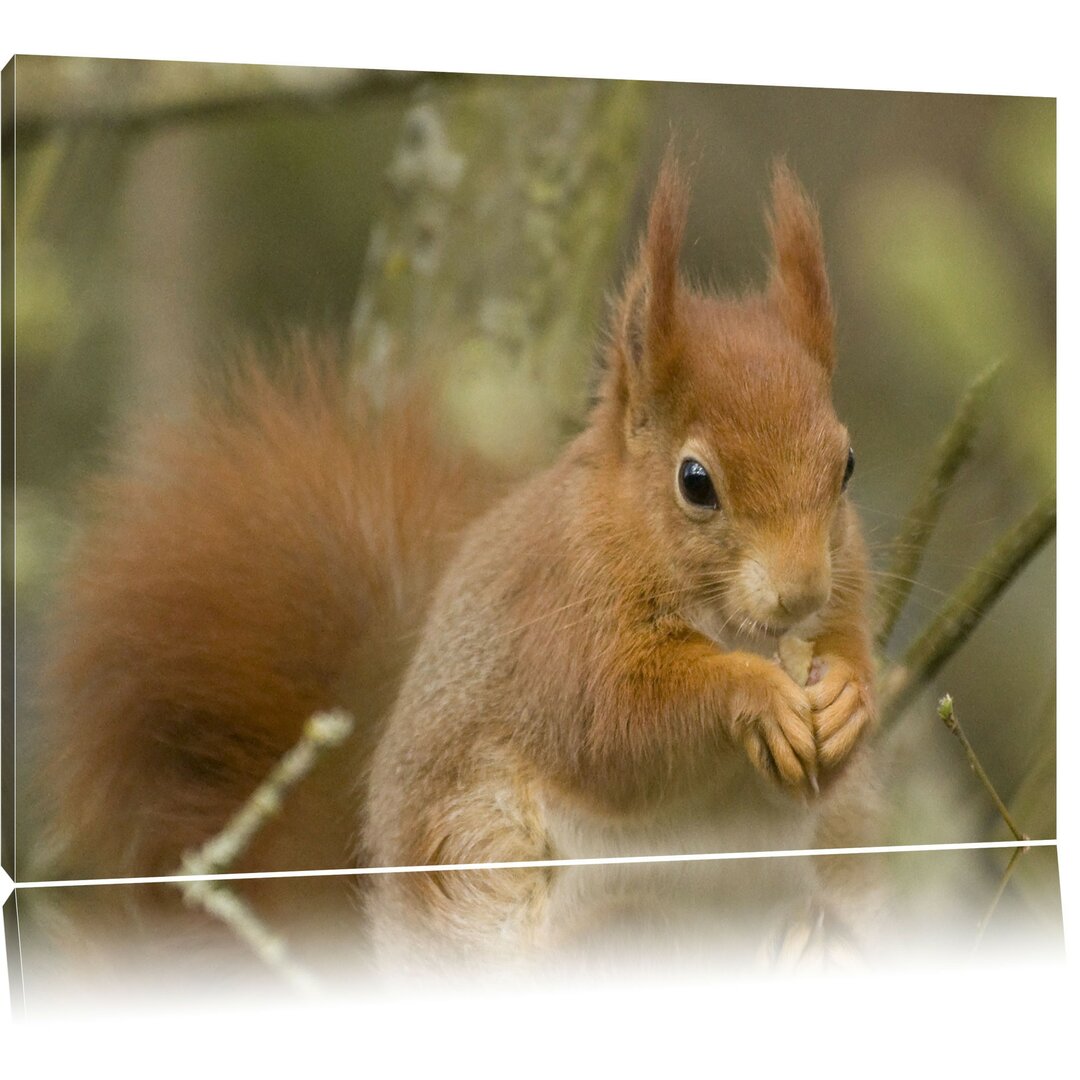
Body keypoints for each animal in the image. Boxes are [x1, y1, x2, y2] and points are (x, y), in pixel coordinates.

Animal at [33, 150, 876, 963]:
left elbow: (843, 660)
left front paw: (845, 695)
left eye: (847, 464)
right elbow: (614, 724)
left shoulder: (848, 587)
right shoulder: (560, 625)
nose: (799, 594)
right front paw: (755, 693)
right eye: (695, 482)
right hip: (478, 850)